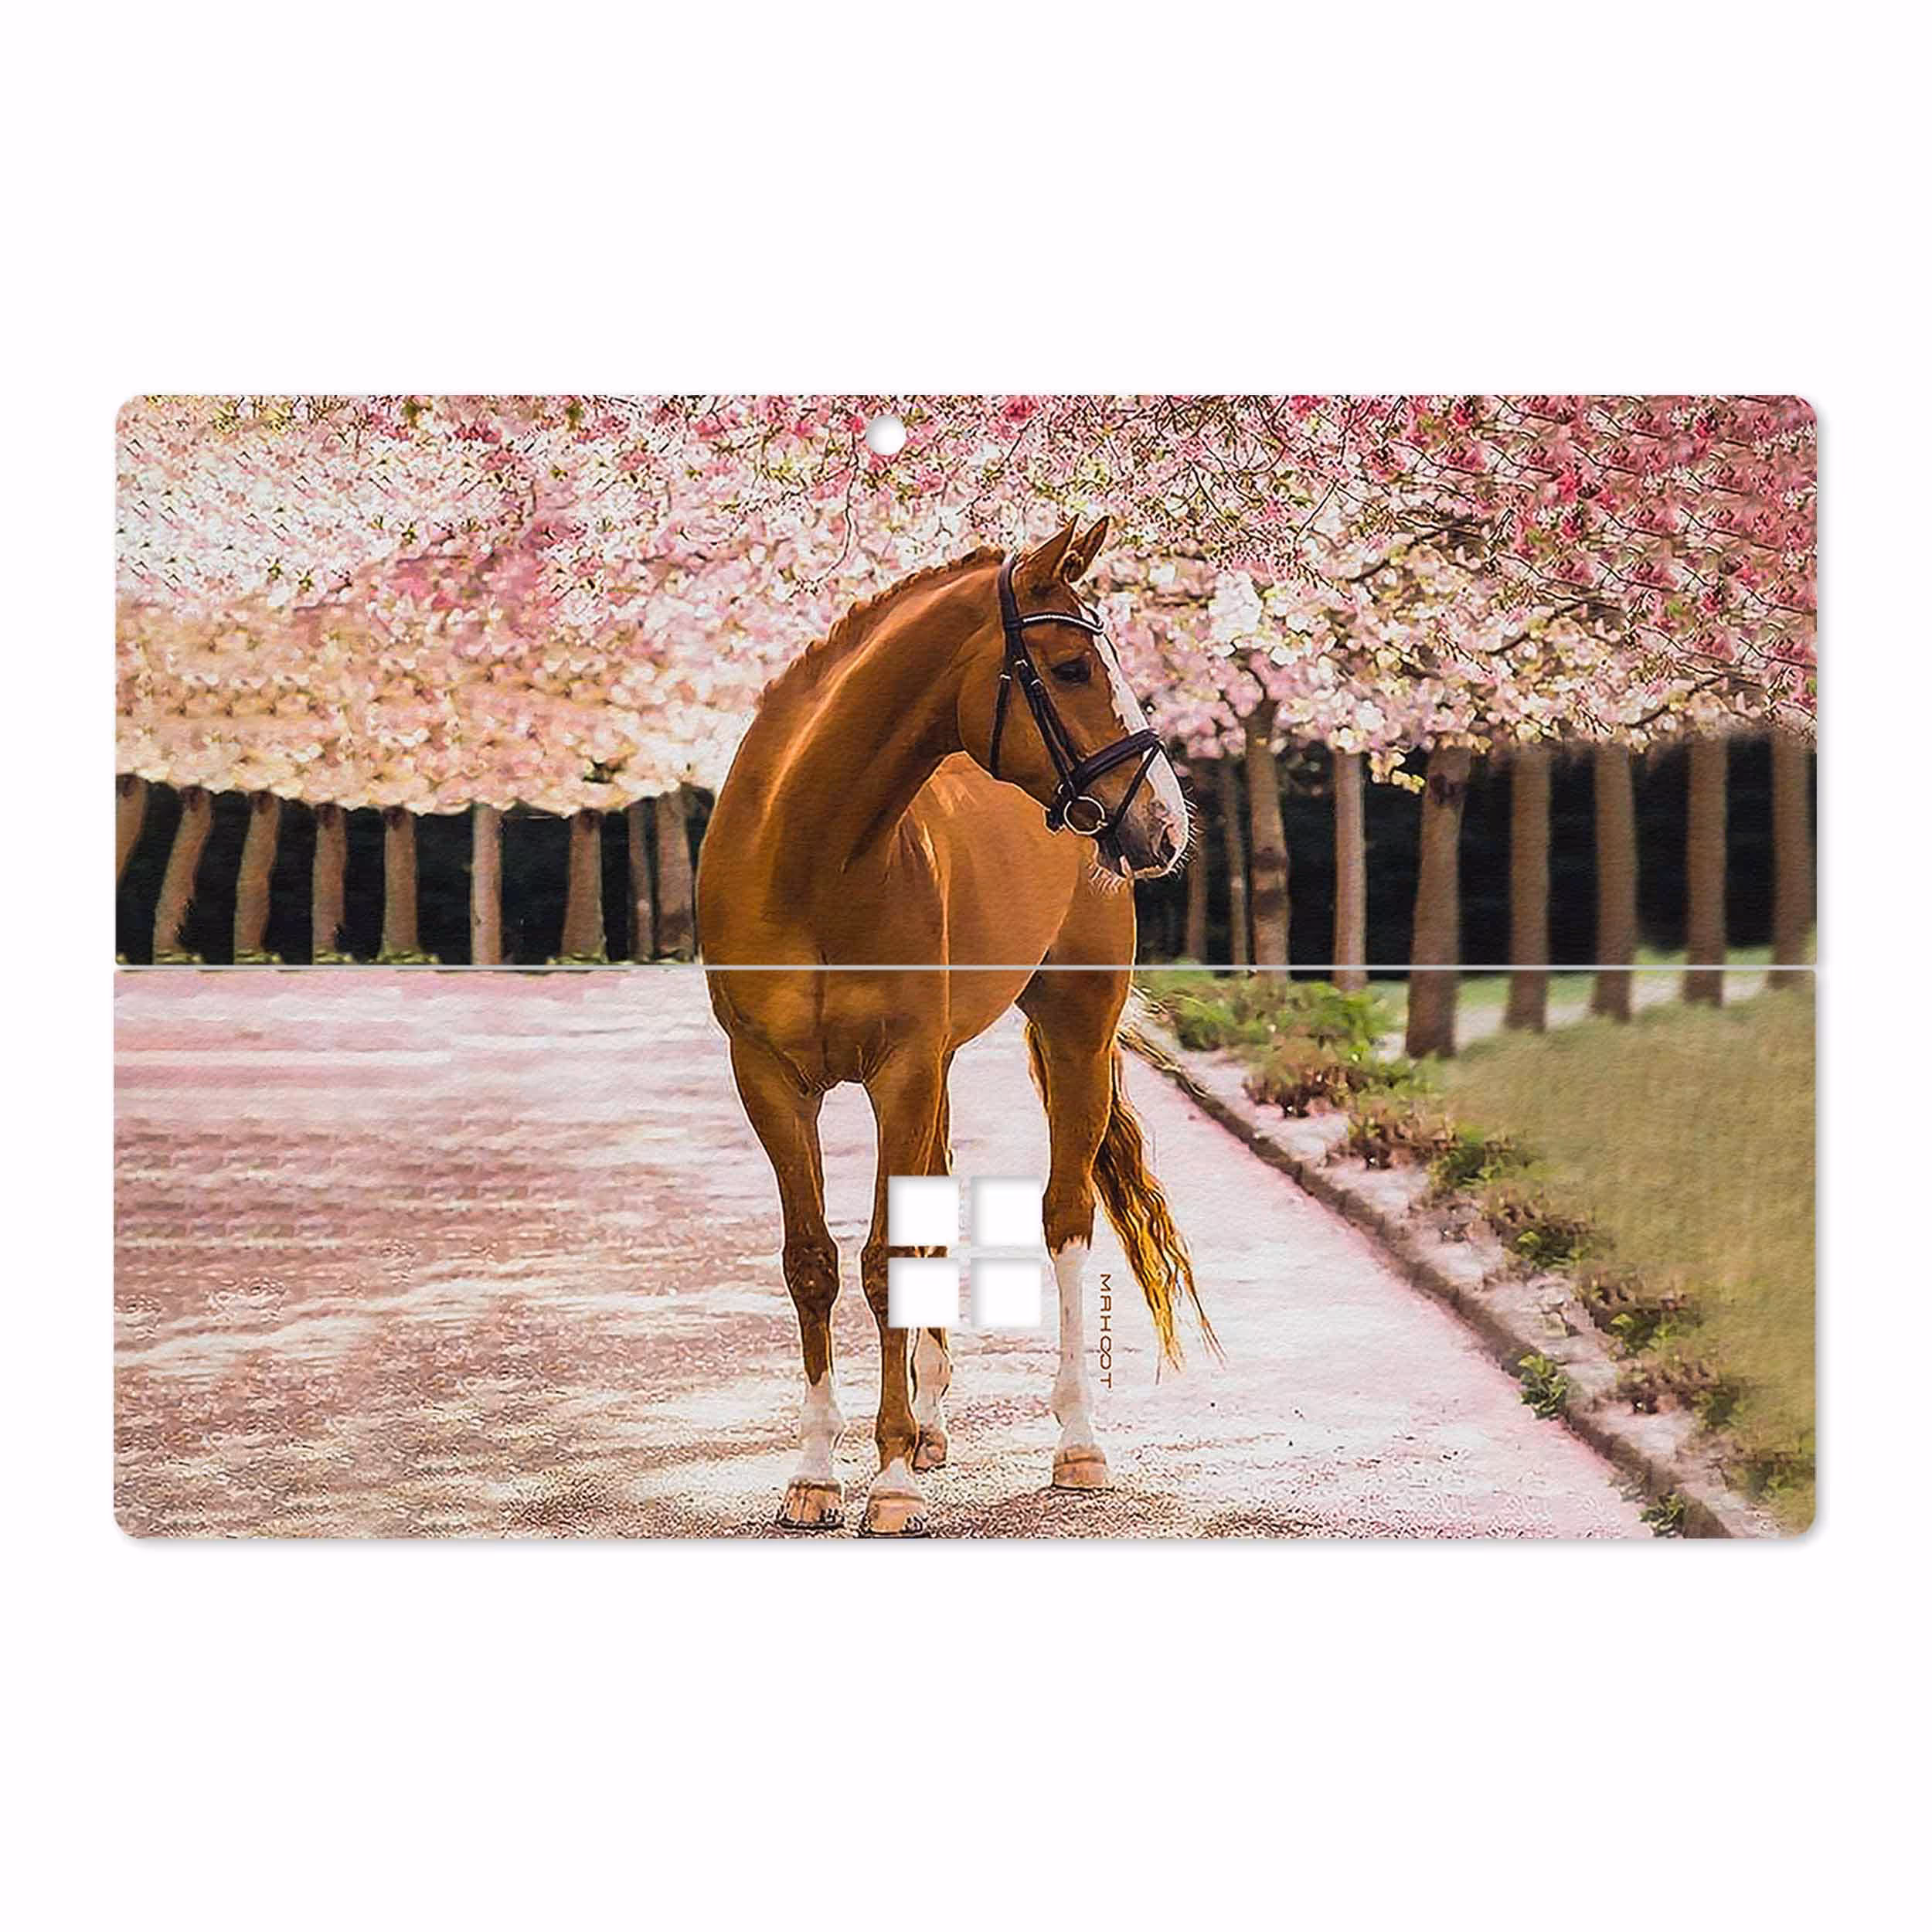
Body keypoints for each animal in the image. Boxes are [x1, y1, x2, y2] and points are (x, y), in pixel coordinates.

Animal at [698, 517, 1214, 1534]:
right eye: (1069, 667)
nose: (1166, 825)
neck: (810, 855)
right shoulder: (769, 1078)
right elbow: (812, 1261)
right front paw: (816, 1473)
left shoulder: (899, 1070)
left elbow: (887, 1258)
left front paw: (890, 1479)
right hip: (936, 1069)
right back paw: (933, 1422)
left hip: (1072, 1032)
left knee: (1065, 1217)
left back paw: (1074, 1441)